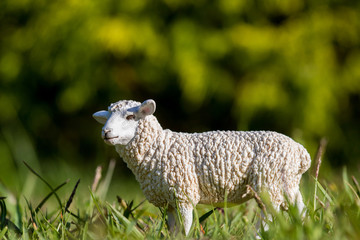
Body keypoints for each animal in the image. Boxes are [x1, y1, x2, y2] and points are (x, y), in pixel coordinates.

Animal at [93, 98, 312, 235]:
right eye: (108, 116)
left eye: (130, 117)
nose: (105, 132)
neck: (159, 147)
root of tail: (301, 152)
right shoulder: (170, 200)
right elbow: (174, 229)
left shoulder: (183, 193)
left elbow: (186, 225)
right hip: (287, 183)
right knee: (299, 210)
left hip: (268, 182)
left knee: (268, 217)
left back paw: (257, 235)